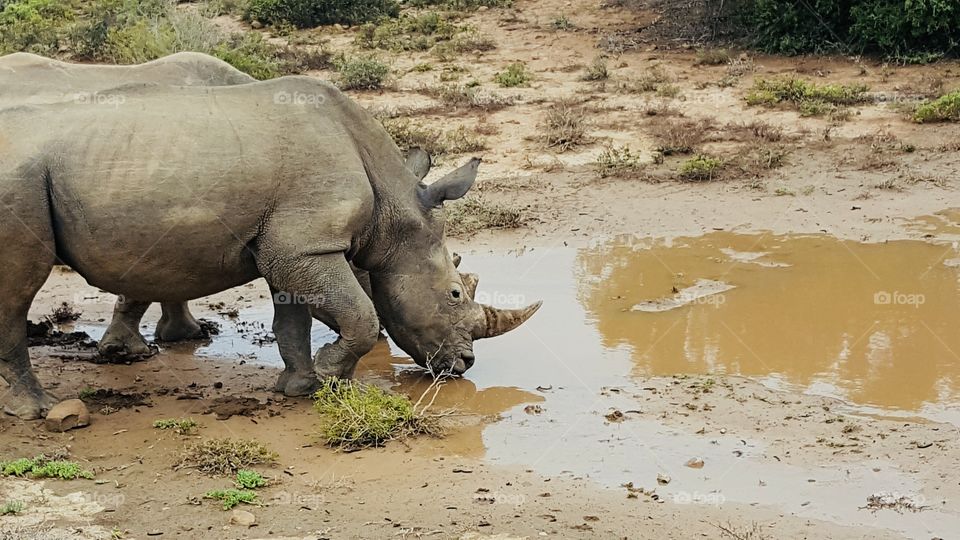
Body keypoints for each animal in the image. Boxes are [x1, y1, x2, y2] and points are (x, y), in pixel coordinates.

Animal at [0, 73, 540, 419]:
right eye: (454, 293)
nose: (465, 366)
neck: (394, 209)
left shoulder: (293, 247)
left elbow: (292, 322)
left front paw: (300, 387)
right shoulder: (307, 246)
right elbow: (360, 314)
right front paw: (329, 378)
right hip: (17, 182)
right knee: (16, 294)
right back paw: (40, 411)